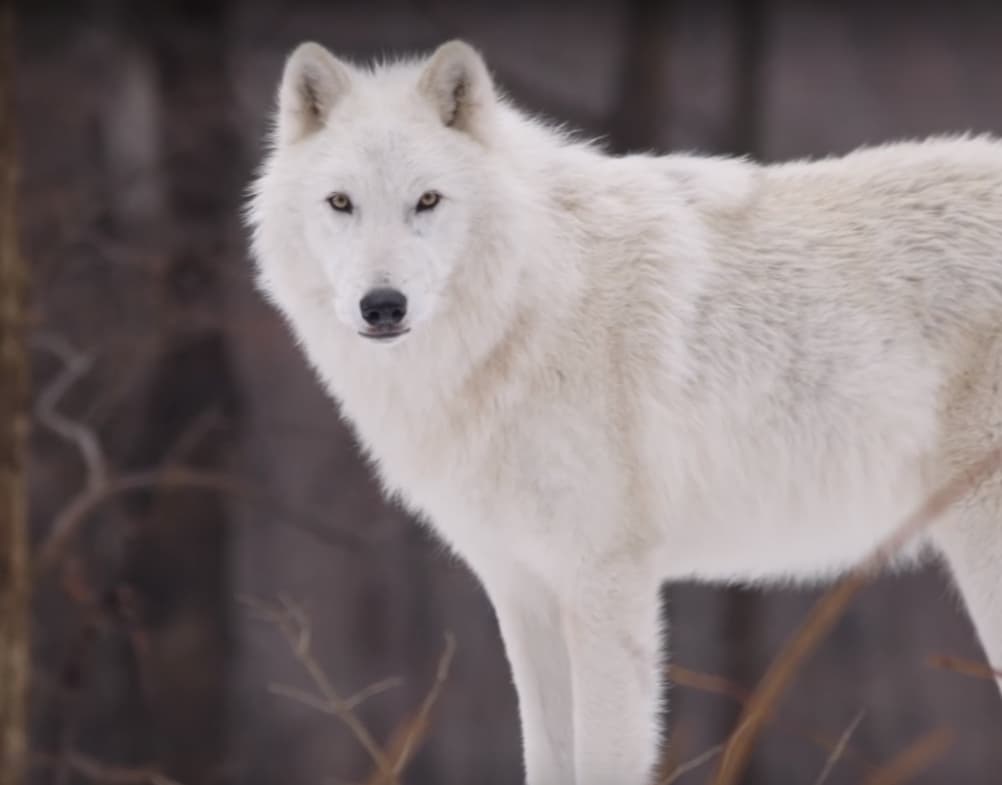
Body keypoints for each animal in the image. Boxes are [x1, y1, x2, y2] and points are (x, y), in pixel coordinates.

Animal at [246, 39, 1002, 785]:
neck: (528, 311)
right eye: (340, 202)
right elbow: (549, 754)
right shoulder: (522, 587)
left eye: (427, 200)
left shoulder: (606, 580)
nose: (382, 305)